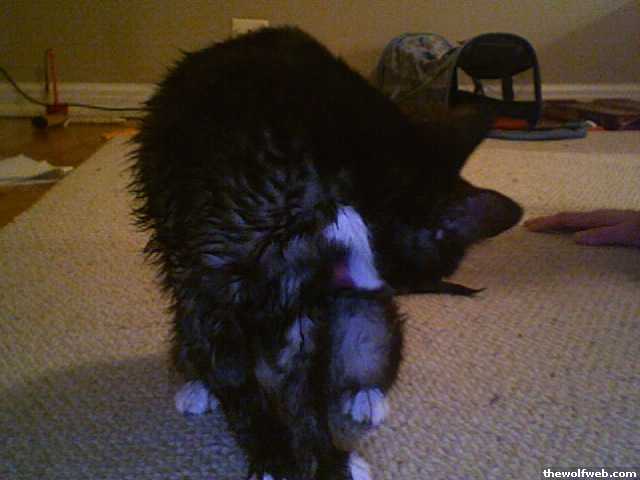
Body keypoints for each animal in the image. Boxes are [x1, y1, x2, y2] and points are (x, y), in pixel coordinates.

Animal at [130, 26, 522, 480]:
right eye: (423, 274)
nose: (381, 289)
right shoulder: (211, 285)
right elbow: (236, 378)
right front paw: (272, 455)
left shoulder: (305, 301)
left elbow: (305, 386)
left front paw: (326, 459)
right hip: (188, 306)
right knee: (196, 346)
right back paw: (197, 386)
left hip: (364, 321)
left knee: (366, 348)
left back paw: (365, 396)